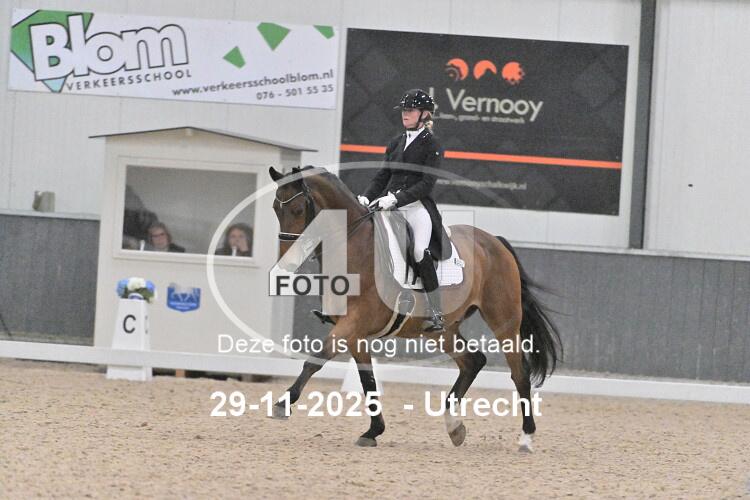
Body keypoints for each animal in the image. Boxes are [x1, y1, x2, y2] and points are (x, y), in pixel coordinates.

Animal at [268, 165, 562, 452]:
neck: (356, 248)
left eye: (297, 210)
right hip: (443, 331)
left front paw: (282, 404)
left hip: (503, 320)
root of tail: (495, 242)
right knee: (473, 361)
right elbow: (368, 381)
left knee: (519, 374)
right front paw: (373, 431)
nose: (285, 262)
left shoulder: (353, 323)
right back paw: (454, 426)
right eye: (275, 209)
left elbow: (315, 359)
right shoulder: (355, 333)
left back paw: (526, 438)